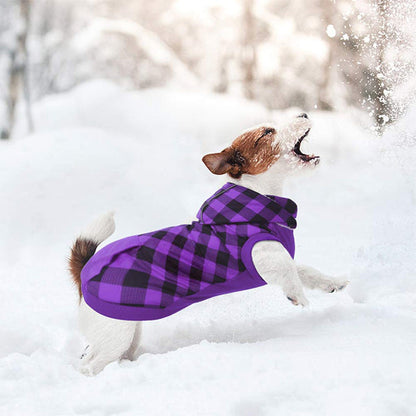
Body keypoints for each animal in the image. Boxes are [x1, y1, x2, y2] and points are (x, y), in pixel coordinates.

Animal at [68, 114, 348, 376]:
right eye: (267, 132)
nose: (303, 114)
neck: (257, 197)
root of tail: (84, 271)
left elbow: (306, 270)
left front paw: (332, 283)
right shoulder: (262, 255)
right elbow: (288, 269)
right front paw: (298, 296)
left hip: (127, 329)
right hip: (115, 335)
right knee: (89, 365)